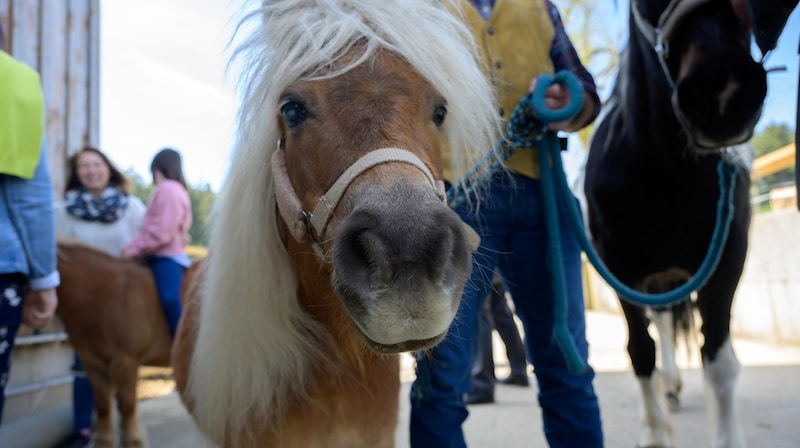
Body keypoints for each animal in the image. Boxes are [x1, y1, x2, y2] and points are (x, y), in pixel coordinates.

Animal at [54, 242, 203, 448]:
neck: (97, 292)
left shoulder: (124, 360)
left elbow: (127, 404)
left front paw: (134, 441)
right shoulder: (92, 362)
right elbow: (102, 405)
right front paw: (105, 442)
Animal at [588, 1, 768, 446]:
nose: (724, 92)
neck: (665, 170)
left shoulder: (728, 257)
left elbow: (718, 359)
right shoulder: (620, 269)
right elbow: (640, 351)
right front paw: (654, 434)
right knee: (661, 326)